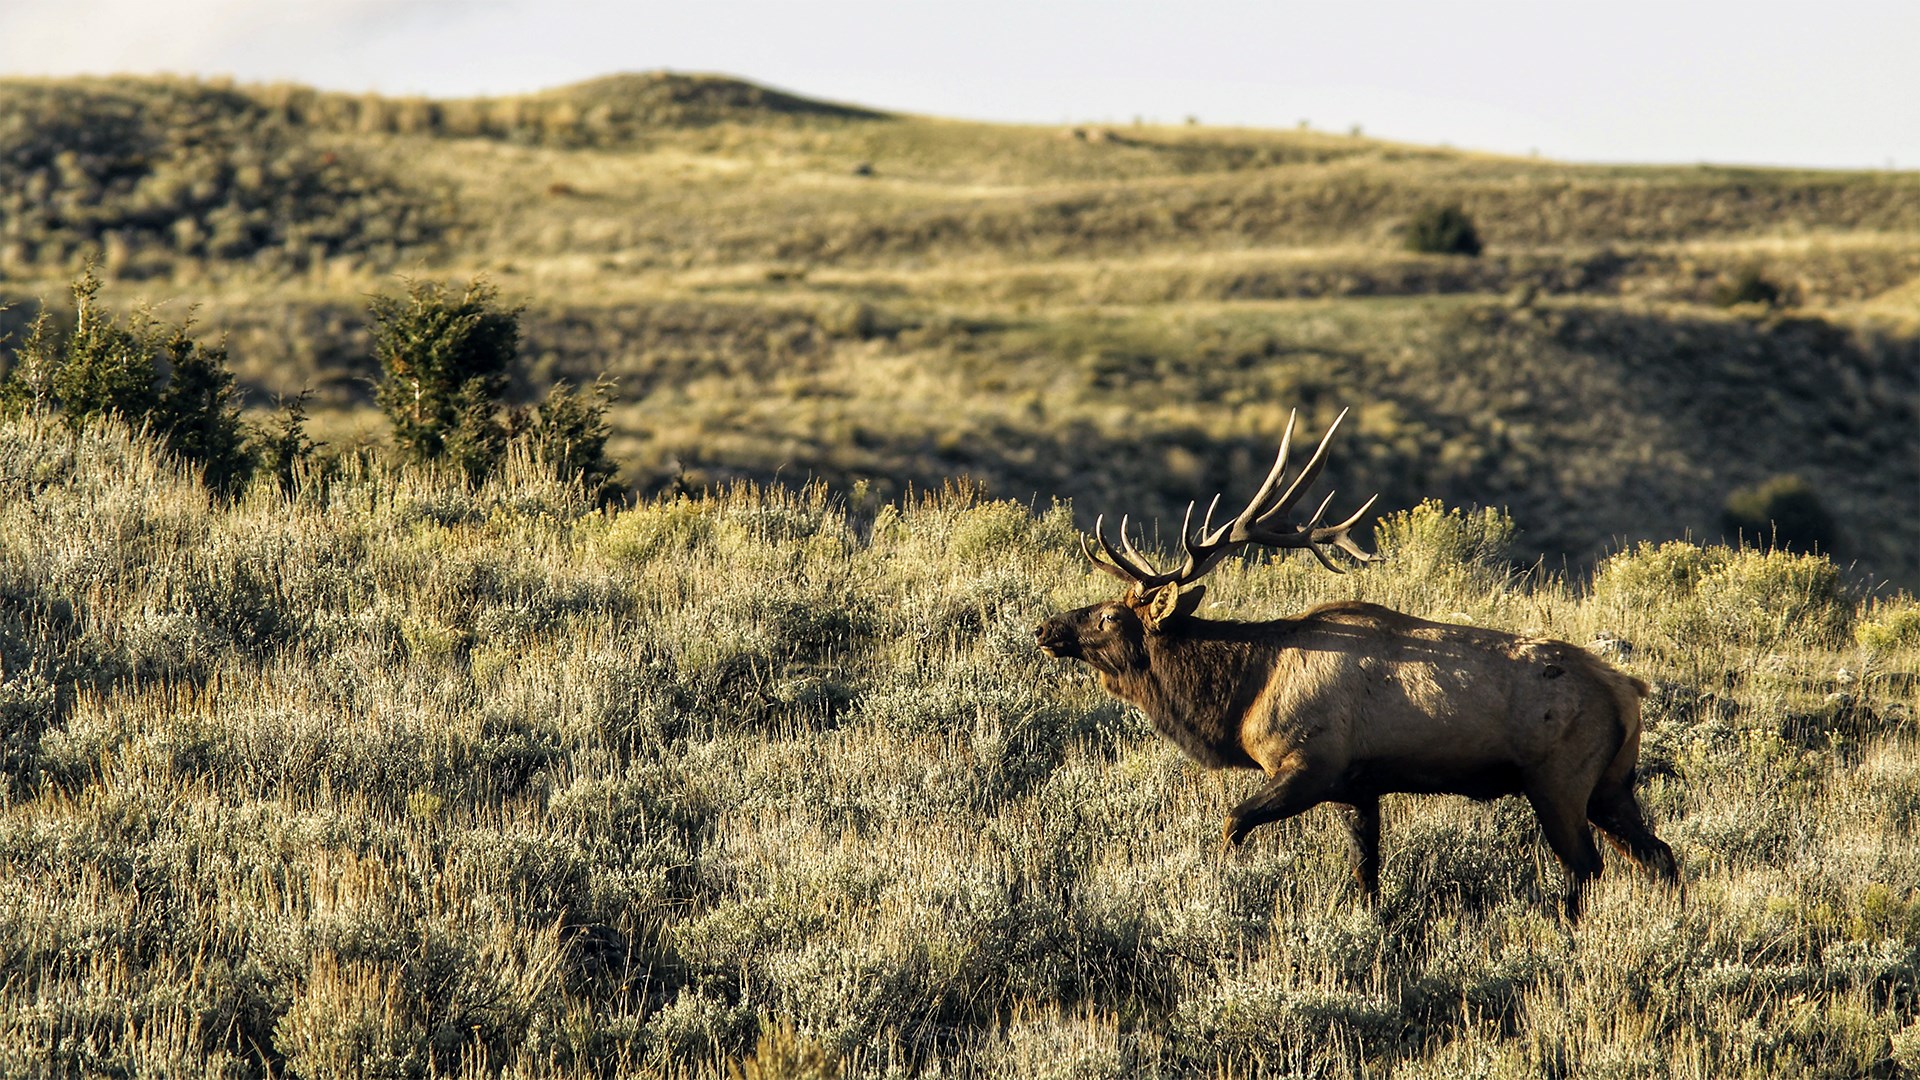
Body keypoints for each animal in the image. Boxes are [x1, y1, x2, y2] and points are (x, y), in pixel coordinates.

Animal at [1032, 409, 1679, 921]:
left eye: (1110, 616)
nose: (1045, 628)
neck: (1244, 694)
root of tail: (1629, 690)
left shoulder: (1309, 764)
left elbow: (1232, 824)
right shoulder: (1357, 788)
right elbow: (1366, 875)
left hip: (1559, 781)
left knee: (1586, 868)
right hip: (1612, 784)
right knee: (1660, 855)